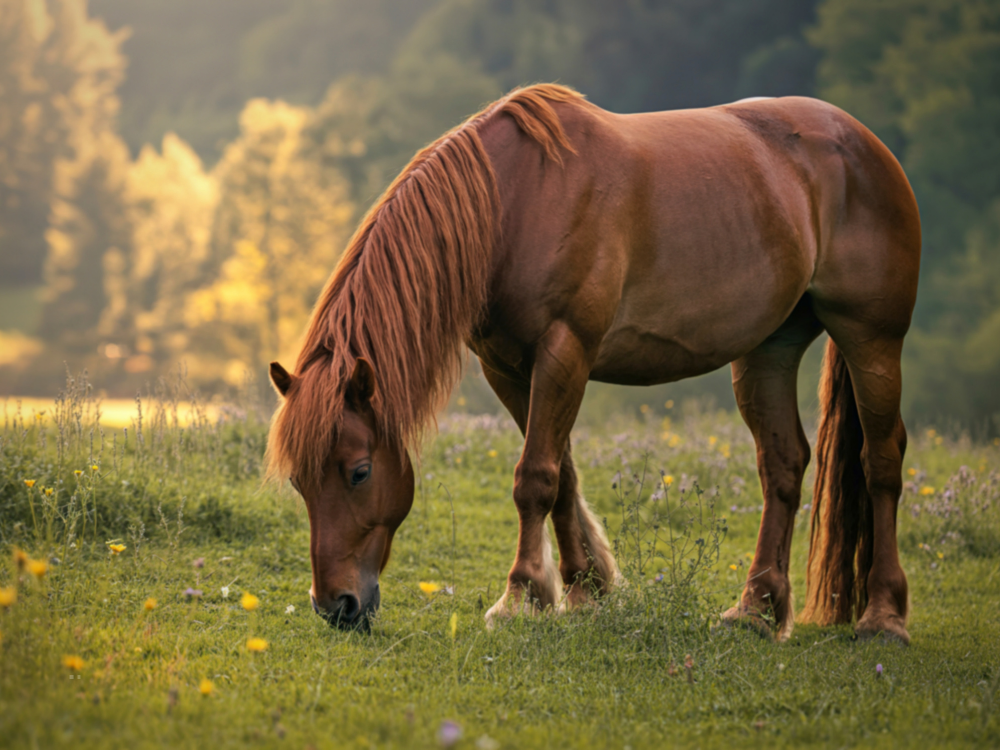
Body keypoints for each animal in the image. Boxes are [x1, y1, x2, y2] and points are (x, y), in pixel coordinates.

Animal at [266, 84, 920, 643]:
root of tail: (864, 142)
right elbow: (562, 476)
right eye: (299, 480)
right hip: (769, 349)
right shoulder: (510, 367)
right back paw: (754, 611)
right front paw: (584, 591)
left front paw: (520, 596)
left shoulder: (565, 349)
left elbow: (535, 476)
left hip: (872, 339)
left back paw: (884, 618)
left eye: (358, 472)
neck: (515, 202)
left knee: (882, 461)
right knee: (783, 465)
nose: (335, 606)